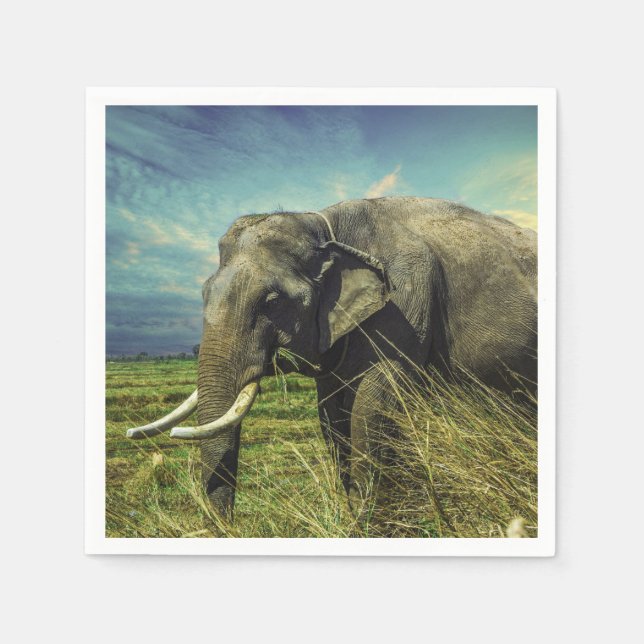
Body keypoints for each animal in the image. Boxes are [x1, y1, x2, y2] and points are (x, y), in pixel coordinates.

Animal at [126, 196, 537, 518]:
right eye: (203, 294)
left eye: (271, 302)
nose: (228, 528)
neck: (325, 226)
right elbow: (331, 416)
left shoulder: (405, 303)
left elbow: (371, 410)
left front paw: (372, 522)